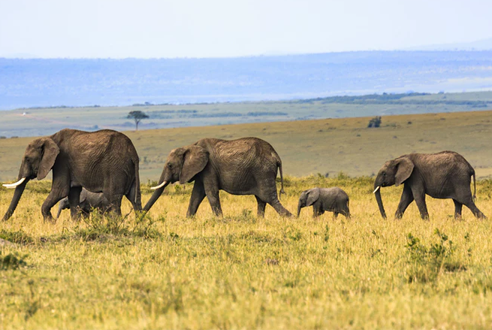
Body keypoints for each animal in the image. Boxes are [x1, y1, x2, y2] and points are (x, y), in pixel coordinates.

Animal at [3, 129, 142, 222]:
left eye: (27, 159)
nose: (3, 221)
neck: (50, 138)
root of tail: (132, 151)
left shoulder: (61, 161)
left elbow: (61, 190)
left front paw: (51, 223)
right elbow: (73, 194)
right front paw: (75, 224)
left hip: (115, 168)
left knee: (113, 198)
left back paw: (116, 225)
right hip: (129, 169)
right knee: (134, 198)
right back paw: (139, 225)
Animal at [145, 136, 292, 217]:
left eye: (170, 165)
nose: (141, 216)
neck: (190, 146)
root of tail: (276, 156)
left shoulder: (209, 168)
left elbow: (210, 193)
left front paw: (220, 221)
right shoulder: (201, 170)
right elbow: (196, 195)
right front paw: (188, 220)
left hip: (263, 171)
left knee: (269, 198)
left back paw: (291, 218)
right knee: (261, 200)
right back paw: (259, 221)